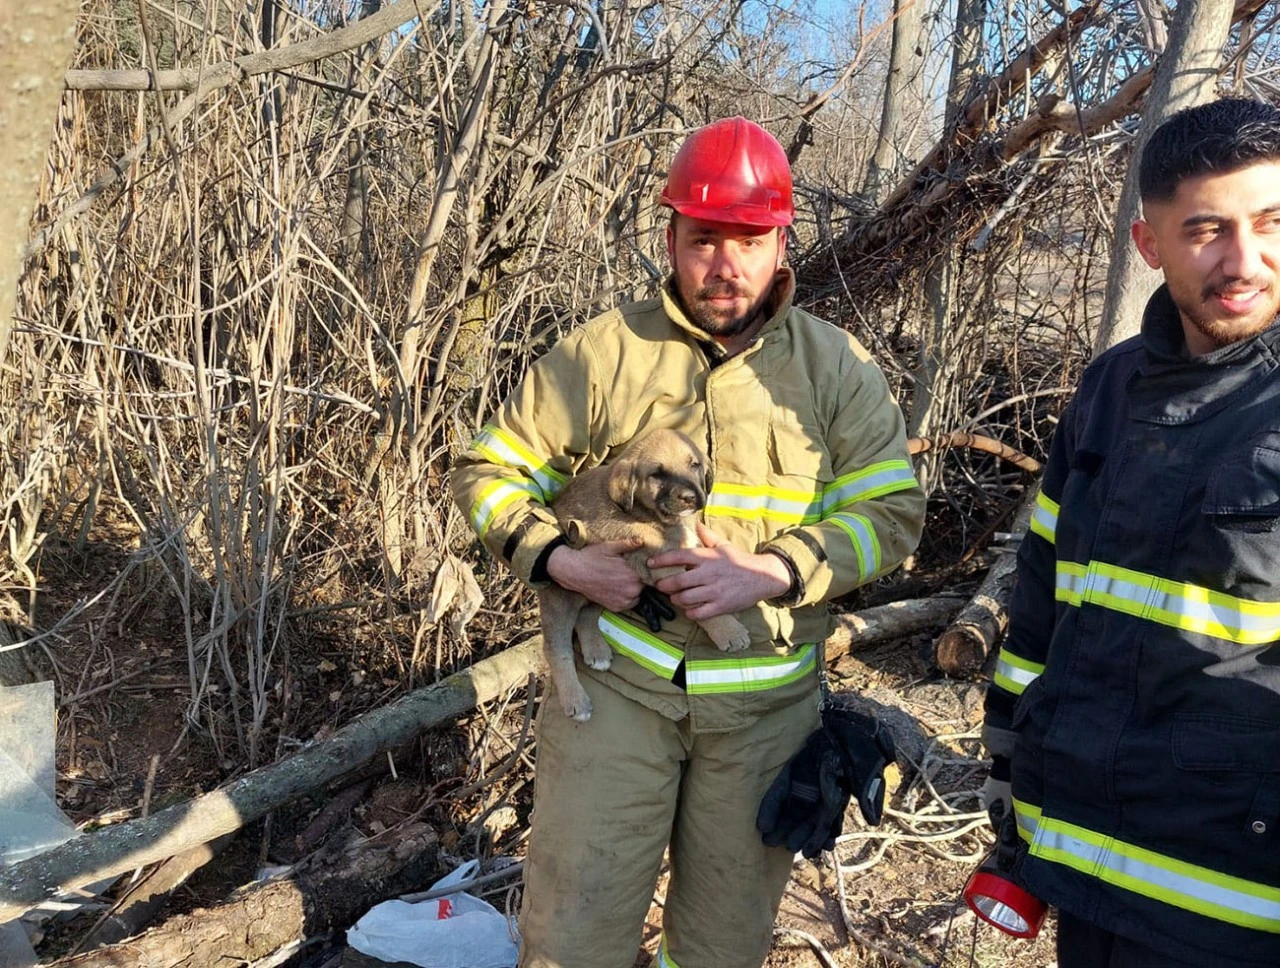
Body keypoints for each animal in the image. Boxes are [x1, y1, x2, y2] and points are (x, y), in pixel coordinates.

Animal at [537, 430, 747, 717]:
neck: (651, 515)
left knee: (586, 617)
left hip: (599, 590)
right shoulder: (663, 564)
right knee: (555, 648)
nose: (689, 498)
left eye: (694, 465)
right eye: (657, 474)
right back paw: (575, 700)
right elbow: (699, 600)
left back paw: (597, 651)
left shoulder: (689, 551)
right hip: (563, 597)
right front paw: (729, 631)